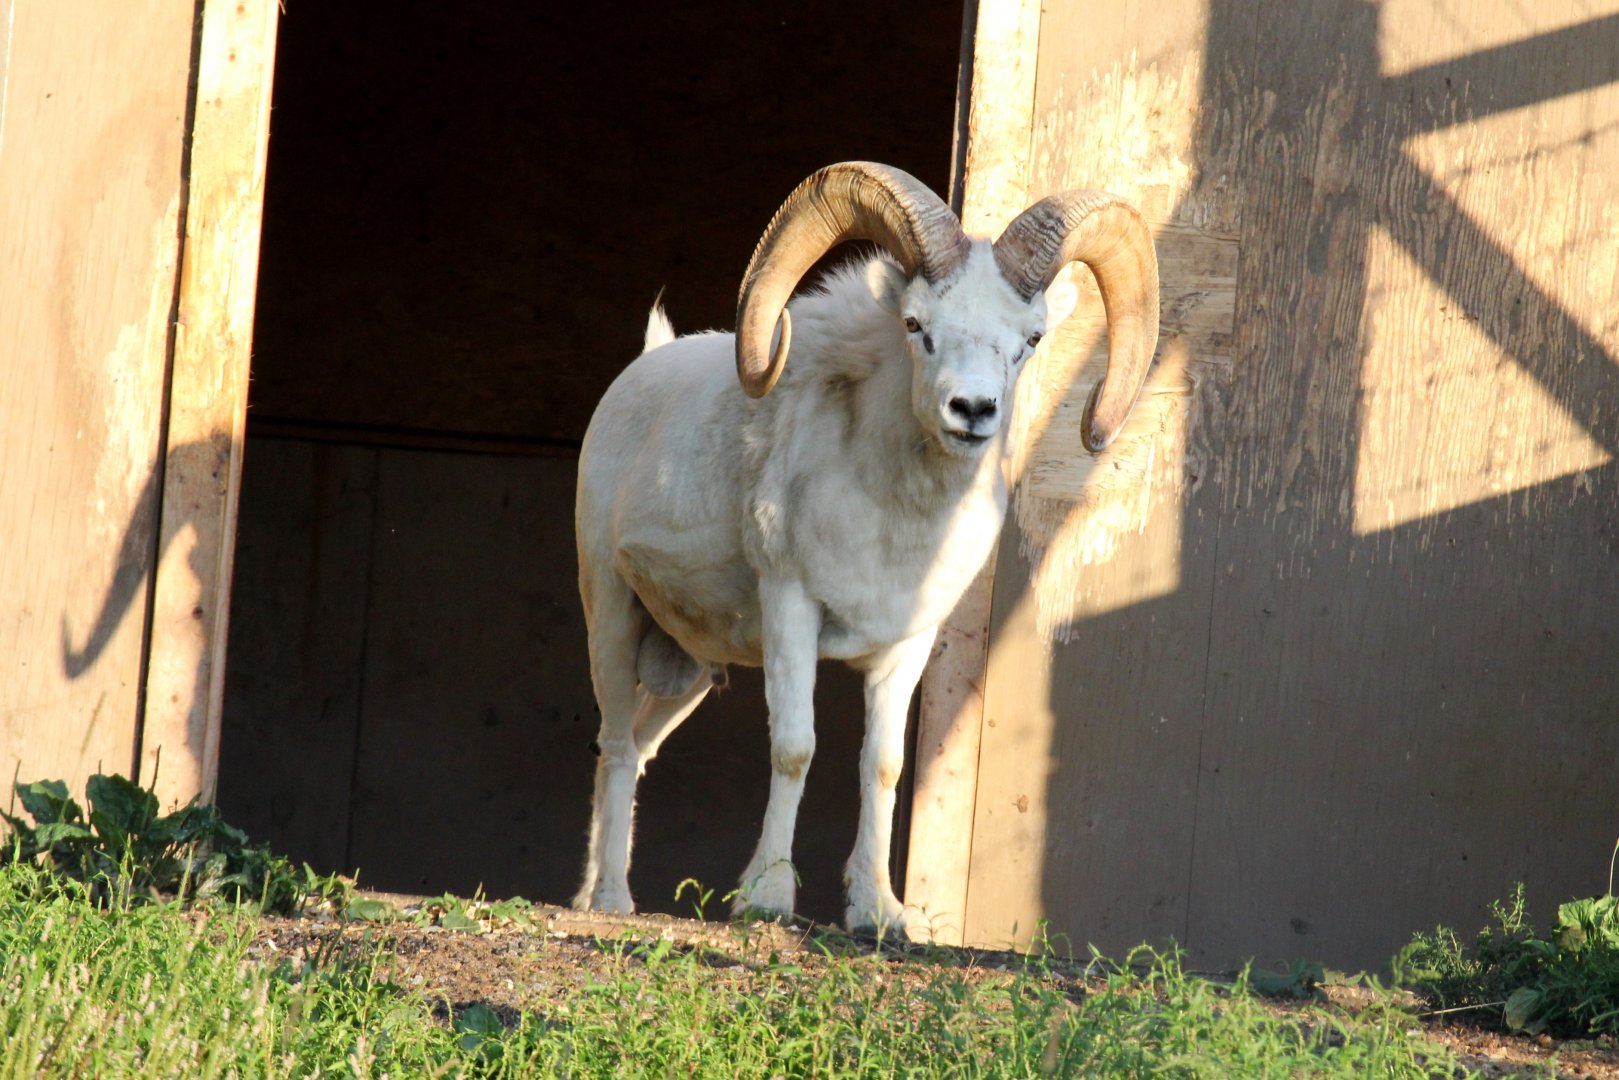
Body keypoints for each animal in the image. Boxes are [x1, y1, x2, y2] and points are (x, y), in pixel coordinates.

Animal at [572, 161, 1159, 934]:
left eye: (1029, 339)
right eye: (917, 326)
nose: (972, 411)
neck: (888, 518)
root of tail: (639, 372)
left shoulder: (908, 642)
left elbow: (881, 765)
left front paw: (878, 912)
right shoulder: (790, 607)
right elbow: (795, 747)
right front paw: (766, 898)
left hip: (691, 672)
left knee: (637, 747)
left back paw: (590, 893)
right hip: (609, 611)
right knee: (613, 745)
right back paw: (609, 900)